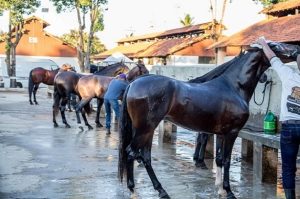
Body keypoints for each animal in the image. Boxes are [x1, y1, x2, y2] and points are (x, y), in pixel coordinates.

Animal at [118, 42, 298, 199]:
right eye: (275, 45)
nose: (297, 49)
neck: (233, 86)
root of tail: (133, 84)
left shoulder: (221, 133)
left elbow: (218, 159)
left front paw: (220, 190)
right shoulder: (232, 133)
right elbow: (226, 160)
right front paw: (229, 191)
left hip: (146, 129)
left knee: (145, 157)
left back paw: (161, 191)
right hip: (145, 128)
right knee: (130, 152)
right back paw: (133, 191)